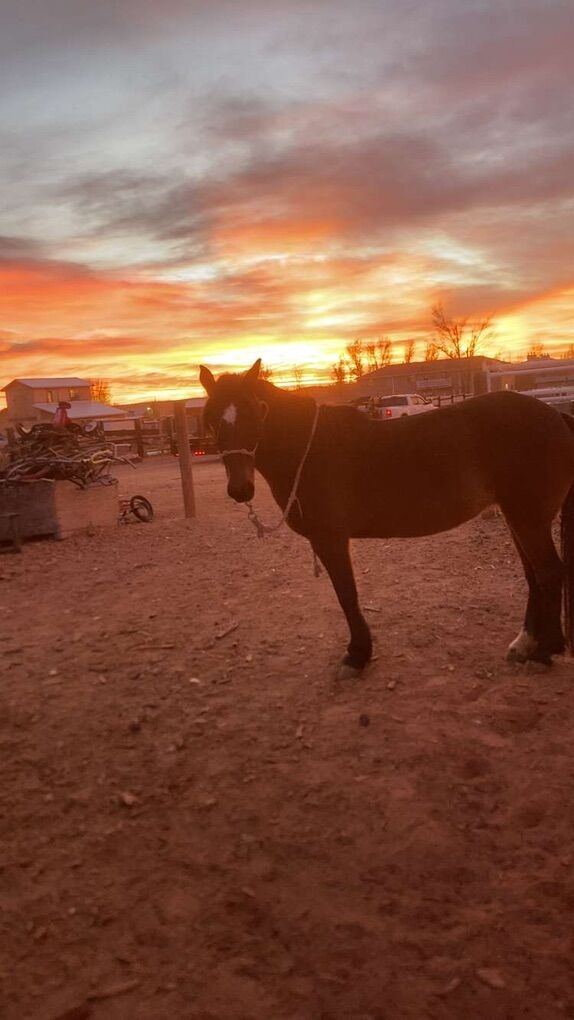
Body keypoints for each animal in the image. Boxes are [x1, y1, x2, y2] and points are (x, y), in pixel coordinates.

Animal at [200, 359, 574, 677]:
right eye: (213, 418)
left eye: (255, 413)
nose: (240, 489)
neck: (309, 449)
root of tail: (556, 415)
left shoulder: (331, 539)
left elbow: (347, 594)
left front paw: (357, 655)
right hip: (519, 518)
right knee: (534, 577)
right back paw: (526, 645)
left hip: (528, 519)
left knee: (549, 573)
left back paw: (546, 652)